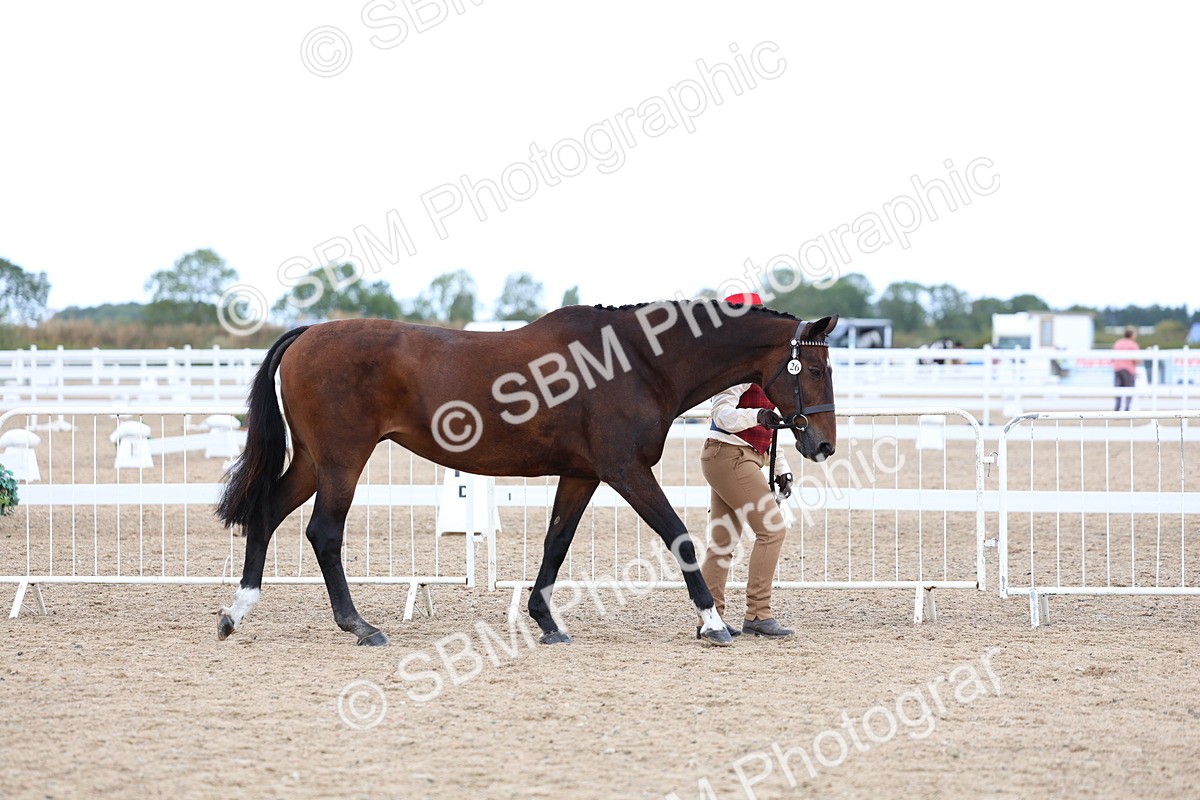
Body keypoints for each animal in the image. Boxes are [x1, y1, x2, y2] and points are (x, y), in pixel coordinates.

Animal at [215, 300, 838, 646]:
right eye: (812, 367)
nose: (823, 444)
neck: (636, 362)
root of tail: (307, 333)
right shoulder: (626, 470)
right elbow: (679, 537)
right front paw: (713, 624)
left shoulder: (584, 474)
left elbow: (555, 543)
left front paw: (546, 621)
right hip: (343, 460)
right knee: (324, 532)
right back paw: (359, 626)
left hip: (314, 462)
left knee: (266, 514)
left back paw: (236, 612)